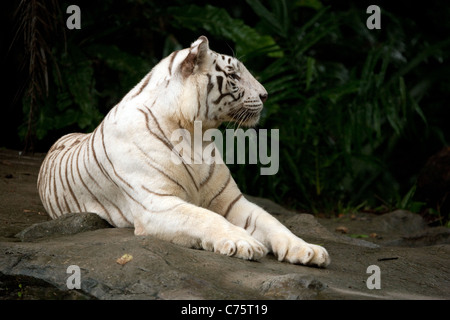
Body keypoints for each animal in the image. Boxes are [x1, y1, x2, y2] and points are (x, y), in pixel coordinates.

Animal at [37, 36, 330, 268]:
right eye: (234, 76)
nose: (266, 95)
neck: (195, 136)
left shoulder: (232, 201)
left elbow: (272, 222)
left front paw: (308, 250)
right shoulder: (157, 204)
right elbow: (204, 217)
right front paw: (242, 242)